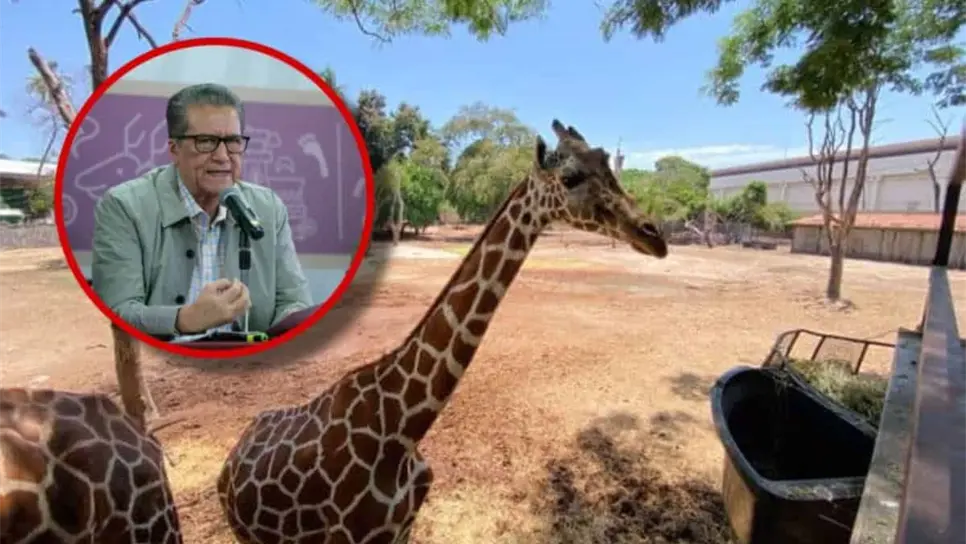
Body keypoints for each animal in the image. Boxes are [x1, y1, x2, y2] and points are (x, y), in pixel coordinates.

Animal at [216, 119, 669, 544]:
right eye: (571, 177)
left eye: (607, 163)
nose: (654, 236)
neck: (402, 429)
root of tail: (231, 458)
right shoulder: (350, 535)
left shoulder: (403, 528)